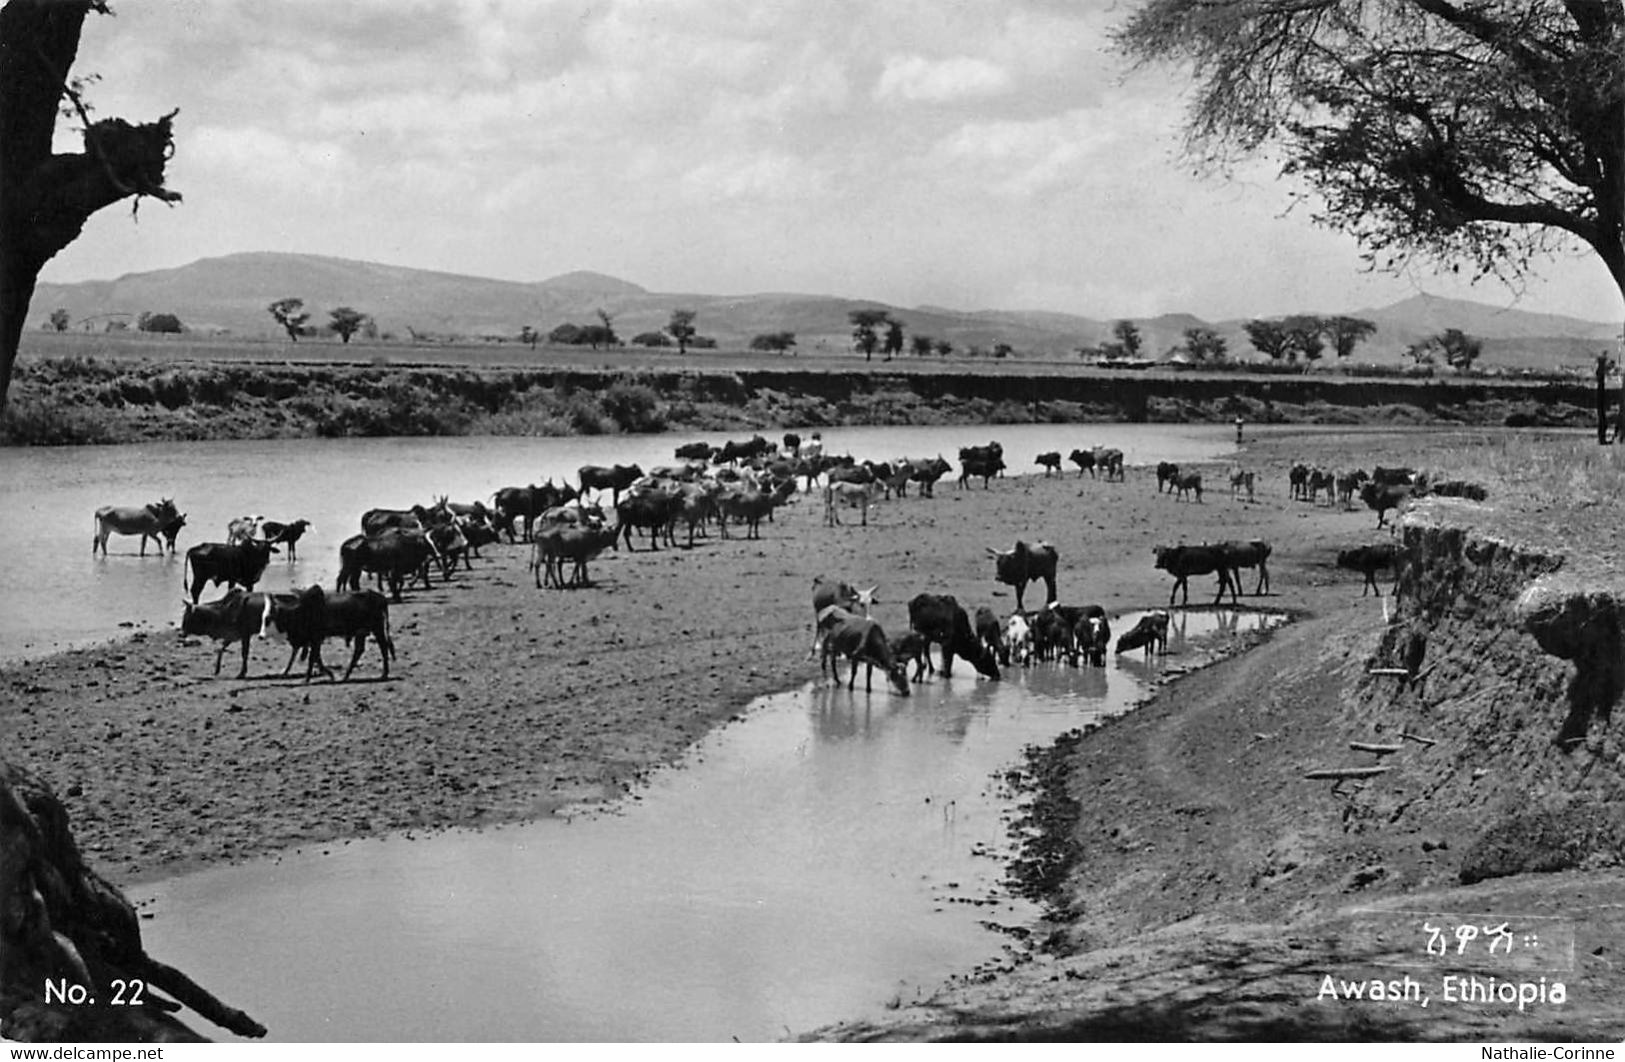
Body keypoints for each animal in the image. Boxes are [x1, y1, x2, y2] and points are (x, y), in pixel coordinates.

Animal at [266, 587, 396, 685]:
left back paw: (384, 674)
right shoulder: (314, 640)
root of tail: (381, 598)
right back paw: (346, 676)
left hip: (377, 628)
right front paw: (330, 674)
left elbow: (312, 658)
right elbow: (316, 658)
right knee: (359, 650)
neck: (300, 611)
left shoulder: (316, 638)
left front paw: (306, 679)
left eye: (272, 616)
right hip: (361, 632)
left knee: (383, 647)